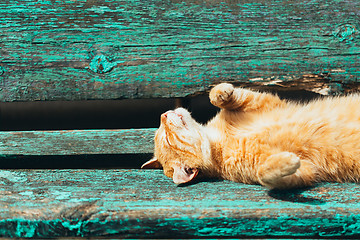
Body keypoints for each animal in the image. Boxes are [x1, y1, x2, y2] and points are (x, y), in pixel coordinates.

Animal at [141, 83, 360, 188]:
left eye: (160, 133)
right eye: (166, 137)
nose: (163, 115)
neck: (220, 140)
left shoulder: (266, 102)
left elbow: (219, 97)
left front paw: (222, 91)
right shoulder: (306, 171)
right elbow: (265, 175)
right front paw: (286, 162)